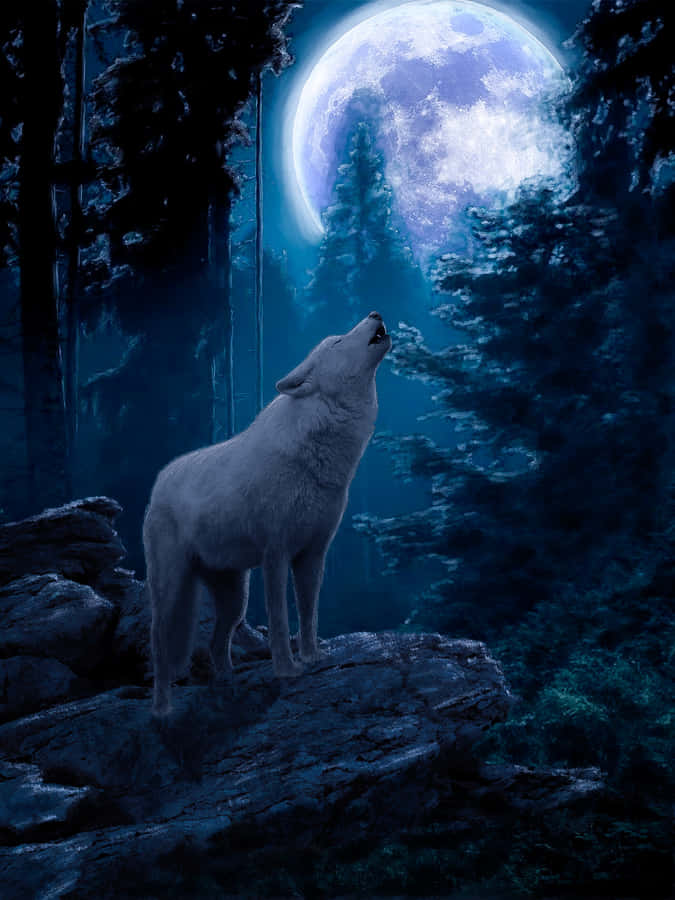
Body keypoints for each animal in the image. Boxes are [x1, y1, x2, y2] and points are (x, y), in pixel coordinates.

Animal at [143, 312, 391, 715]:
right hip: (172, 592)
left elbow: (308, 614)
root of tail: (159, 481)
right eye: (338, 341)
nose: (375, 313)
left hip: (234, 600)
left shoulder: (313, 554)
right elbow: (279, 620)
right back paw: (162, 709)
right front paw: (287, 670)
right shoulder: (276, 554)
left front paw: (312, 657)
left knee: (215, 644)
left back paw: (227, 685)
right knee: (160, 649)